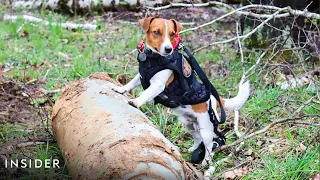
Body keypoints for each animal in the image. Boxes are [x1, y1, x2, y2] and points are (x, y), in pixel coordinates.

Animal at [112, 17, 250, 165]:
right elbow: (130, 84)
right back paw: (193, 150)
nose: (168, 49)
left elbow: (145, 93)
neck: (153, 58)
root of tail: (214, 99)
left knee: (209, 145)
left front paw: (136, 101)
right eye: (157, 32)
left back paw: (205, 161)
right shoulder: (141, 76)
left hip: (206, 129)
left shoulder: (158, 85)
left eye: (172, 34)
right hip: (189, 124)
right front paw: (120, 89)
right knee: (197, 138)